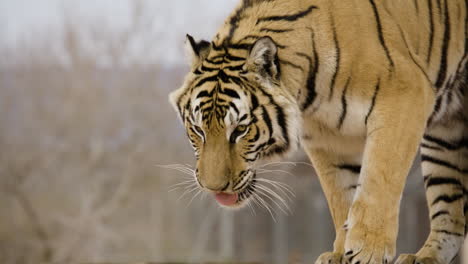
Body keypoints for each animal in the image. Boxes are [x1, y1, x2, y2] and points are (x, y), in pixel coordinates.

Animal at [169, 0, 468, 262]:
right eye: (198, 129)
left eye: (240, 129)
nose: (213, 188)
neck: (310, 90)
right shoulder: (328, 138)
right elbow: (341, 195)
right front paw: (341, 253)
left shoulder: (405, 96)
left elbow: (378, 180)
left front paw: (368, 250)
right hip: (446, 137)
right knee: (450, 209)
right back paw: (424, 258)